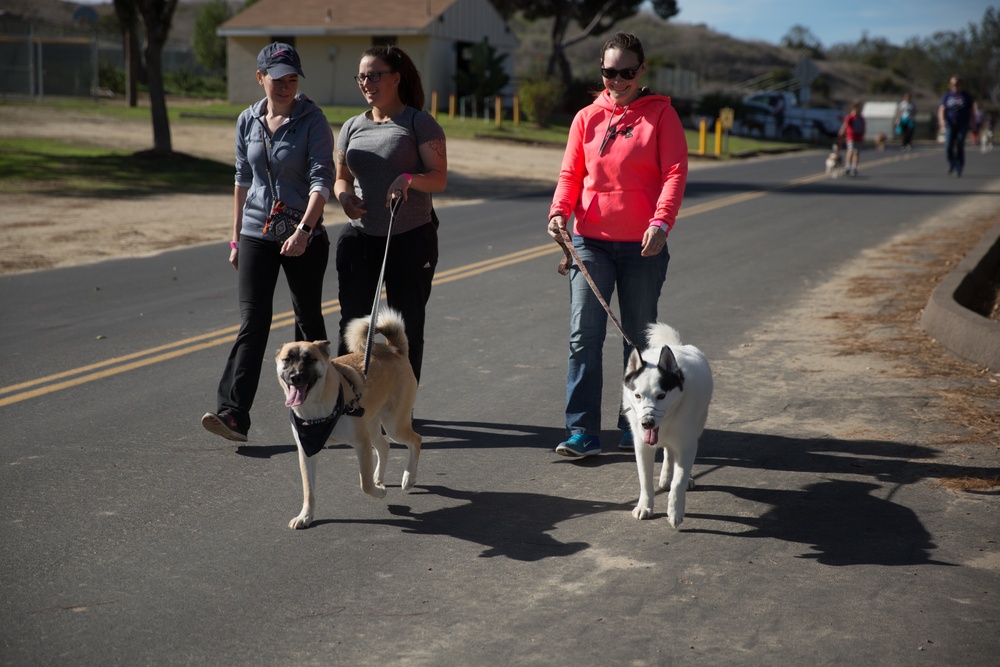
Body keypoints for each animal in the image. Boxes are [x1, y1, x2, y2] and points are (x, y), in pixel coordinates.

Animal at [278, 310, 422, 532]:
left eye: (309, 359)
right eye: (286, 360)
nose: (295, 377)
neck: (317, 412)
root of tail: (395, 350)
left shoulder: (361, 443)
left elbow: (364, 484)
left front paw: (380, 493)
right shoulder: (306, 450)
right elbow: (308, 490)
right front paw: (305, 516)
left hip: (394, 424)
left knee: (416, 440)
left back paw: (408, 477)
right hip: (372, 424)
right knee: (384, 446)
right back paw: (380, 477)